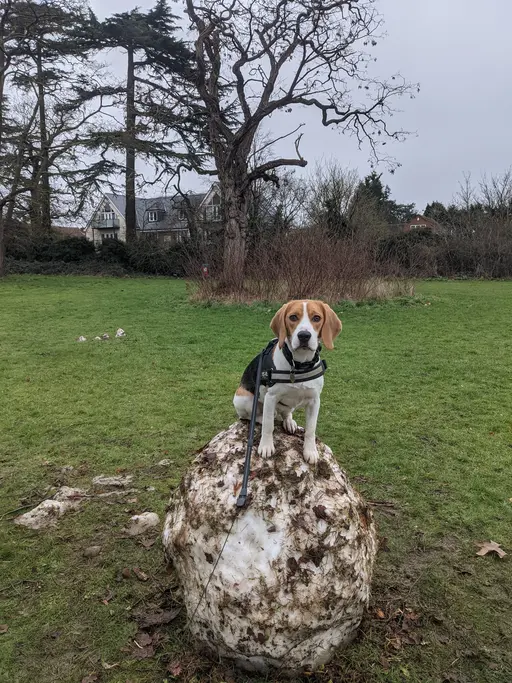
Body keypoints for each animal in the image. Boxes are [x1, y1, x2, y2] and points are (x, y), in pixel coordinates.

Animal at [234, 304, 342, 468]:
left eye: (317, 318)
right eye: (293, 317)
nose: (304, 336)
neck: (299, 365)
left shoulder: (315, 401)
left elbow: (311, 430)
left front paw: (310, 451)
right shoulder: (271, 397)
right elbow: (268, 426)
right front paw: (266, 446)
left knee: (285, 413)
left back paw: (289, 422)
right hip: (244, 398)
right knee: (252, 416)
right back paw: (263, 417)